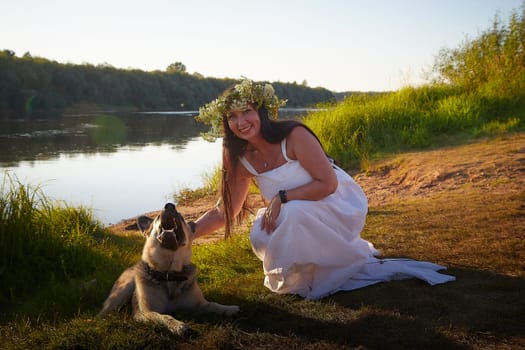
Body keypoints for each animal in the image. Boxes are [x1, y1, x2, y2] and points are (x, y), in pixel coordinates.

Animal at [97, 204, 238, 334]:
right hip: (122, 292)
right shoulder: (146, 313)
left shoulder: (199, 305)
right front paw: (178, 325)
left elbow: (213, 304)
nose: (169, 205)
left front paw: (228, 308)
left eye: (181, 217)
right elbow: (164, 316)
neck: (169, 273)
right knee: (105, 312)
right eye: (157, 217)